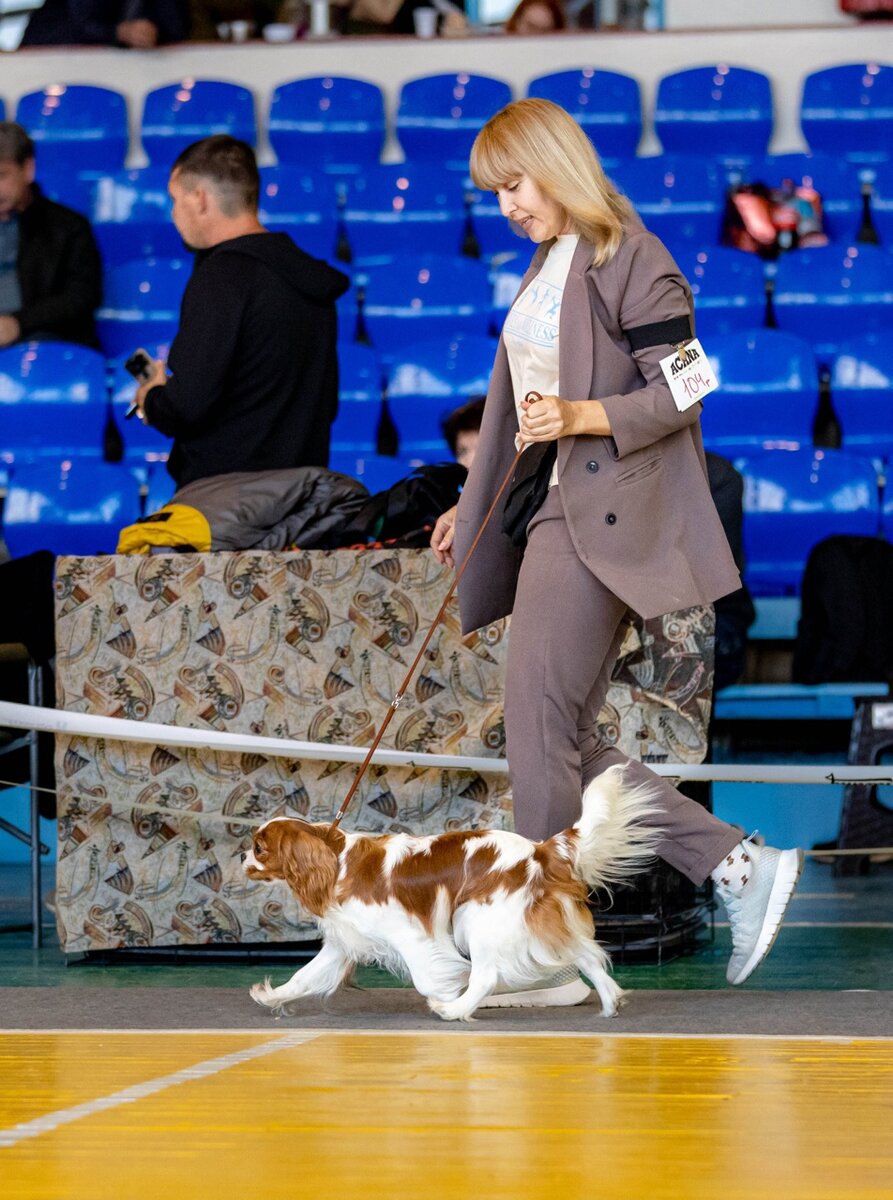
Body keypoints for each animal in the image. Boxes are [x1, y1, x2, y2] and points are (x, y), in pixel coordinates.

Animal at [241, 768, 657, 1022]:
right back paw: (610, 1003)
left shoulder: (410, 935)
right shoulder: (344, 943)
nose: (241, 856)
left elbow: (428, 978)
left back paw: (454, 1009)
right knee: (588, 958)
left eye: (259, 847)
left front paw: (445, 992)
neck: (336, 861)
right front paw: (272, 997)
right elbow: (304, 976)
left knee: (486, 975)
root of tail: (539, 851)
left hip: (478, 918)